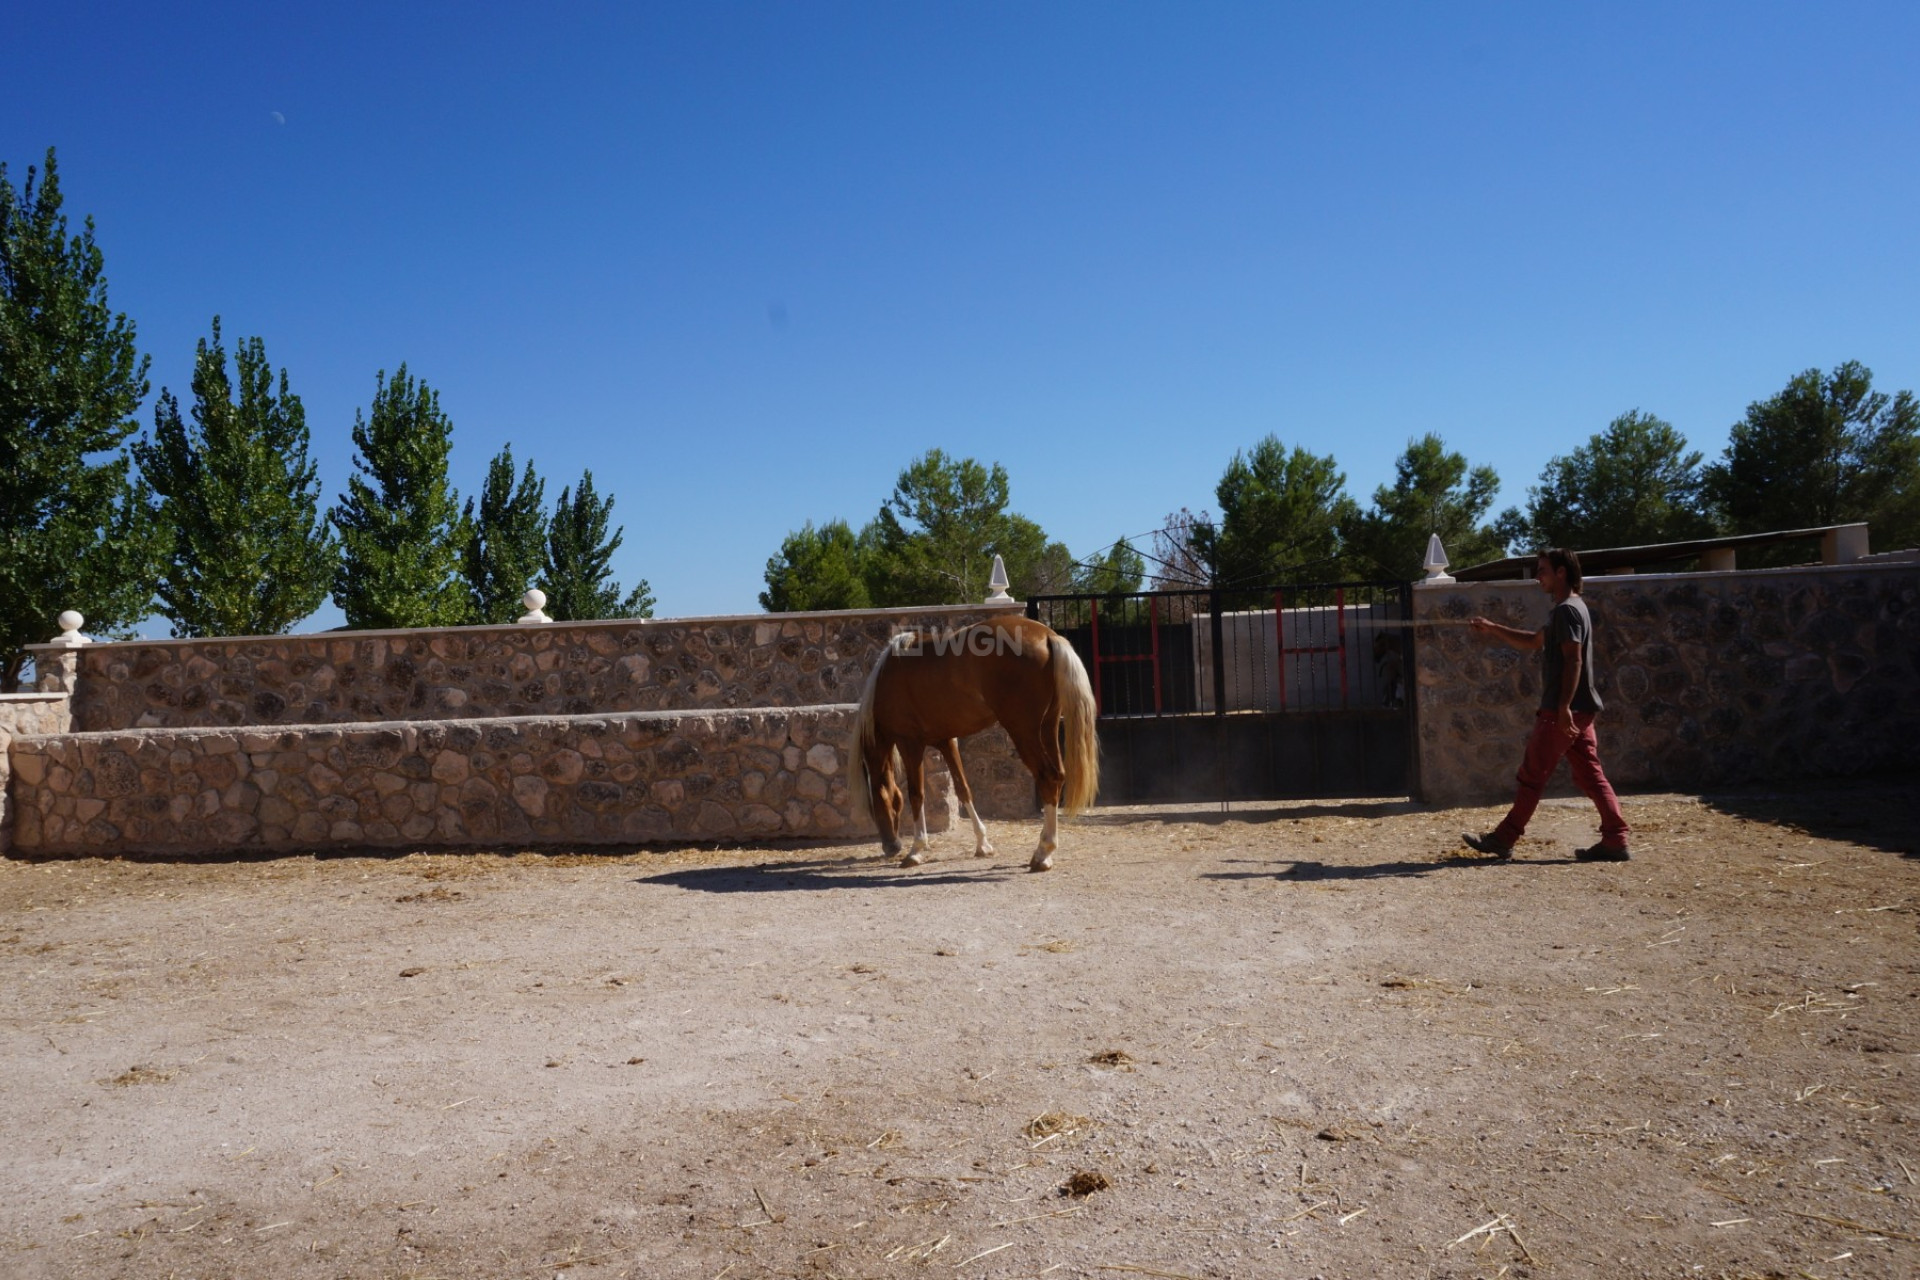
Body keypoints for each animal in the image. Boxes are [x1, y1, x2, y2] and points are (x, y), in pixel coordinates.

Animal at [852, 617, 1105, 875]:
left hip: (1024, 732)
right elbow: (963, 789)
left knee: (1048, 778)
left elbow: (916, 794)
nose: (890, 847)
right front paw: (983, 844)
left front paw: (916, 850)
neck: (889, 675)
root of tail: (1046, 636)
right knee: (1058, 776)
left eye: (874, 805)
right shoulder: (946, 742)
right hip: (1048, 726)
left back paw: (1043, 853)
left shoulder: (910, 744)